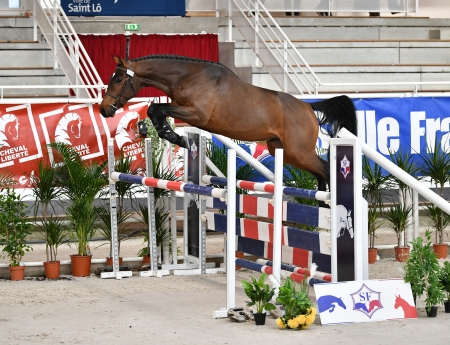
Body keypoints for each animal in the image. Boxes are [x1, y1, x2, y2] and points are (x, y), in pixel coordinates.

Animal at [99, 55, 358, 192]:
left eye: (119, 80)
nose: (103, 109)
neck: (188, 77)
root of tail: (308, 107)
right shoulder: (182, 109)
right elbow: (155, 110)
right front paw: (169, 134)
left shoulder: (197, 114)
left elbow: (157, 109)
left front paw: (175, 137)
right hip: (286, 150)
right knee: (320, 174)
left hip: (299, 151)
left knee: (326, 169)